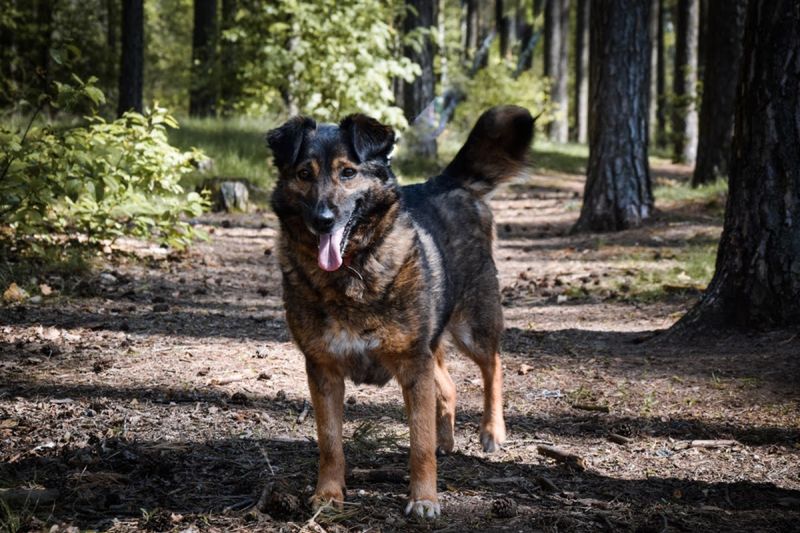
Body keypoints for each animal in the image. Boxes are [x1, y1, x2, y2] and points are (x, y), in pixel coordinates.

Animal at [266, 106, 536, 516]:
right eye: (304, 174)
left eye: (348, 172)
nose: (323, 219)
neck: (352, 271)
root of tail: (445, 182)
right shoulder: (324, 370)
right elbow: (330, 442)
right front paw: (328, 494)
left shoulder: (412, 364)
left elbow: (419, 445)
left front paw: (423, 498)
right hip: (430, 345)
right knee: (449, 386)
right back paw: (447, 439)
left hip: (472, 325)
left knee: (494, 365)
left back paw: (492, 430)